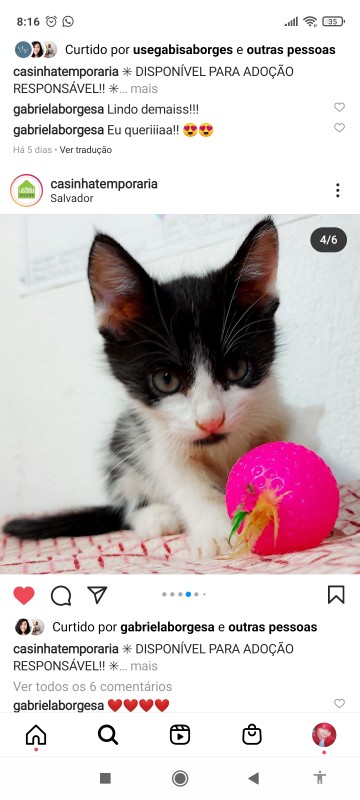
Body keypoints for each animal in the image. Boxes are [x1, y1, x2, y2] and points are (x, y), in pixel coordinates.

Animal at [4, 217, 286, 556]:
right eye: (166, 380)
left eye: (237, 370)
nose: (210, 420)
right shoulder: (158, 436)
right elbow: (187, 481)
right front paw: (218, 532)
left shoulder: (272, 409)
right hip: (123, 439)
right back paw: (155, 516)